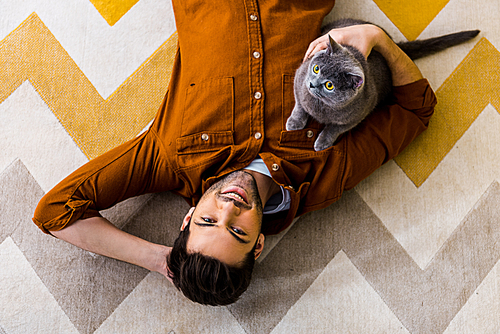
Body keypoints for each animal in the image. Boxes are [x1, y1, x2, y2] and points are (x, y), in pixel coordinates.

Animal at [288, 18, 478, 152]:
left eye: (329, 85)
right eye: (316, 68)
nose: (312, 84)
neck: (321, 106)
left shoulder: (357, 115)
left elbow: (334, 128)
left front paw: (322, 141)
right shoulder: (299, 78)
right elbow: (299, 106)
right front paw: (294, 122)